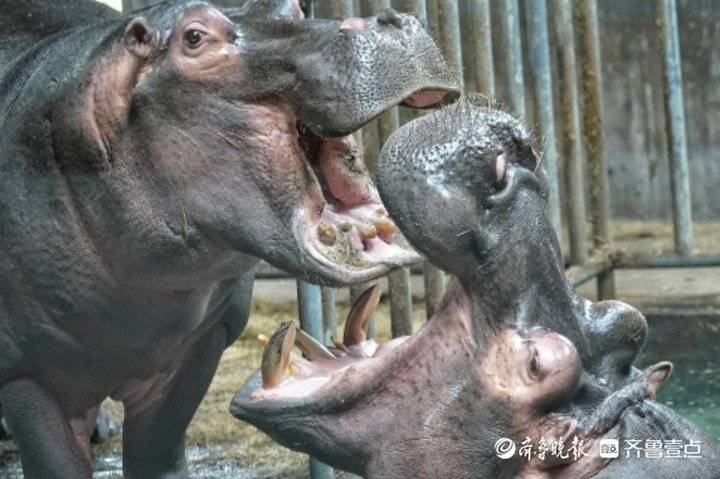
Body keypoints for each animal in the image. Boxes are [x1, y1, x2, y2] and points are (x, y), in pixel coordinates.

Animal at [0, 0, 458, 478]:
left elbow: (160, 451)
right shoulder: (25, 375)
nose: (389, 21)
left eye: (296, 8)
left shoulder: (202, 343)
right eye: (194, 37)